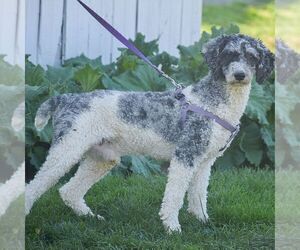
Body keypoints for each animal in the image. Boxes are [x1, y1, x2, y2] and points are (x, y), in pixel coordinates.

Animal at [25, 34, 274, 233]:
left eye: (252, 57)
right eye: (229, 55)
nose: (240, 75)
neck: (213, 103)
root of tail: (67, 98)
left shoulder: (205, 162)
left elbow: (198, 194)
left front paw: (203, 221)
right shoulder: (185, 157)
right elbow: (175, 195)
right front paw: (172, 228)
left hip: (102, 158)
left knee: (69, 191)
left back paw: (90, 217)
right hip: (66, 151)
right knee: (33, 187)